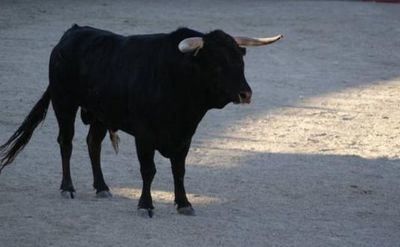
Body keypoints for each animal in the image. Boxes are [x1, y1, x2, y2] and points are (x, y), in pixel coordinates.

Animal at [0, 25, 282, 216]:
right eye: (217, 63)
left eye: (240, 60)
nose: (246, 94)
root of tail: (71, 33)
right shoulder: (144, 135)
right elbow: (149, 170)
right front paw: (145, 205)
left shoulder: (185, 137)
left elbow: (179, 170)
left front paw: (184, 203)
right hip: (64, 103)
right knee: (66, 142)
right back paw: (67, 187)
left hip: (100, 113)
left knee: (93, 144)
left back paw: (102, 187)